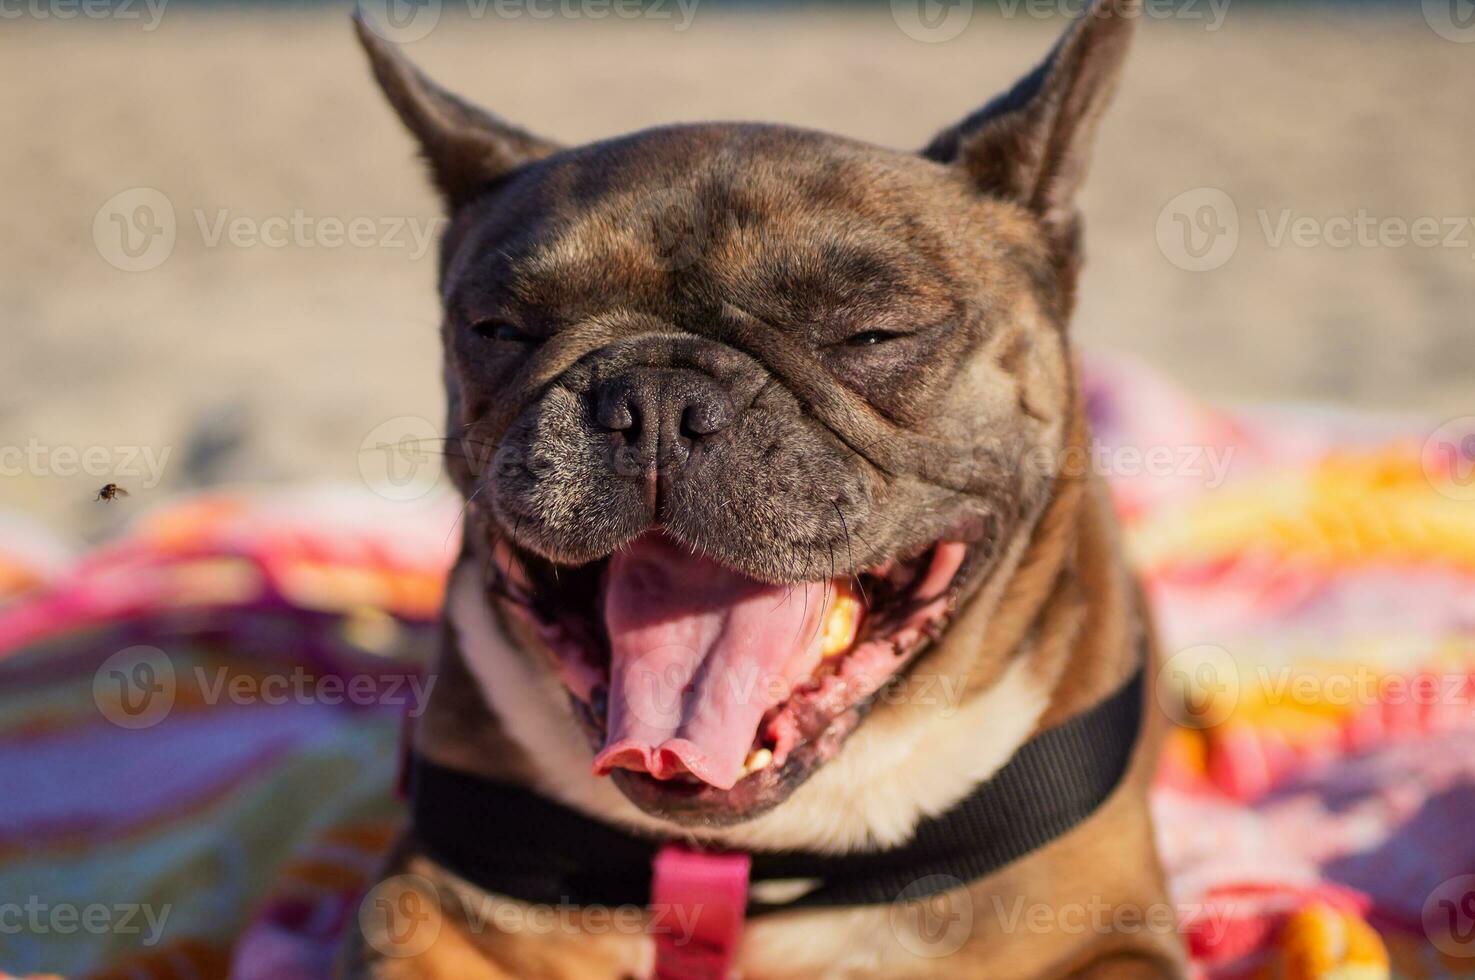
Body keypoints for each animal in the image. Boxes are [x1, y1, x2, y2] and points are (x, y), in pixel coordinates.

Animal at [339, 3, 1180, 974]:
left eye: (872, 334)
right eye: (498, 329)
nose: (656, 399)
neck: (761, 859)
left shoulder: (1112, 935)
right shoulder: (421, 914)